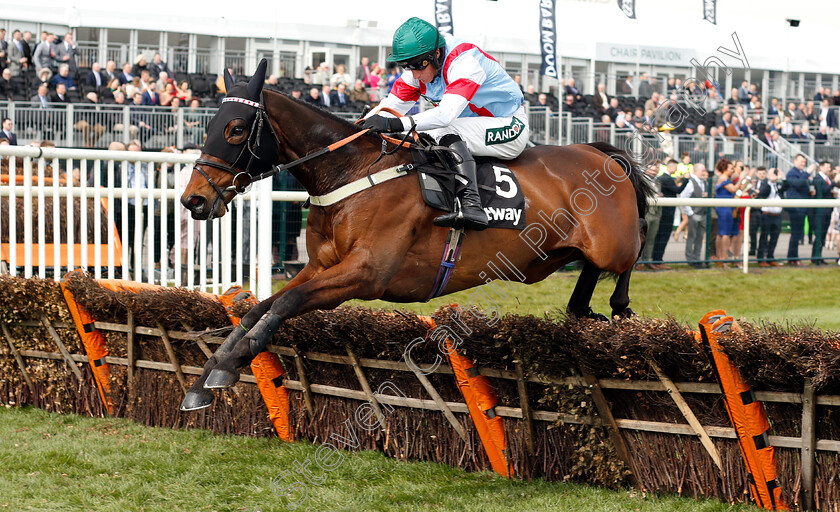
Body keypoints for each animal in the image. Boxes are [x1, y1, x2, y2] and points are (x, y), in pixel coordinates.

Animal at [177, 61, 652, 412]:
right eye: (211, 124)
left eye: (236, 128)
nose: (194, 200)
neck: (351, 172)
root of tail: (598, 150)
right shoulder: (321, 266)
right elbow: (259, 308)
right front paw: (208, 377)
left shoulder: (366, 273)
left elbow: (285, 304)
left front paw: (226, 366)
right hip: (551, 254)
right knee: (589, 273)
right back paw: (581, 308)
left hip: (611, 243)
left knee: (634, 249)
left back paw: (619, 306)